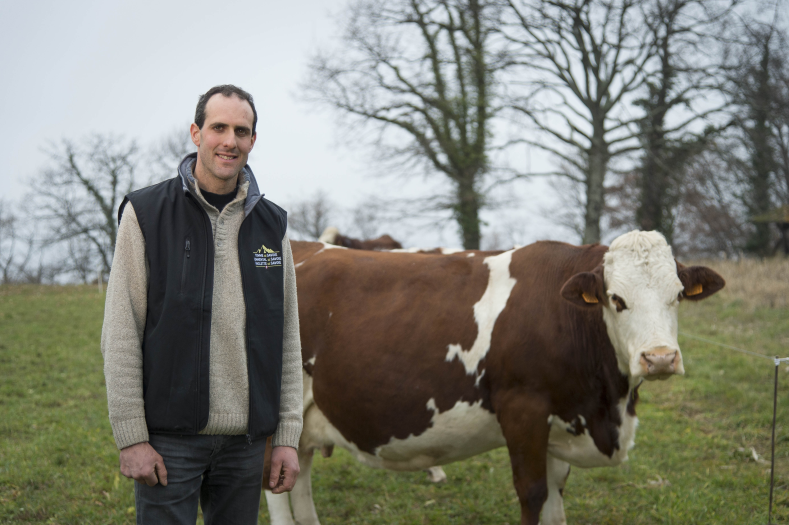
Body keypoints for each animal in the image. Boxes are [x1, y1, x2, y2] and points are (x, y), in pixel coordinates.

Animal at [268, 231, 724, 520]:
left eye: (678, 295)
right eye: (616, 299)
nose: (660, 358)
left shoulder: (557, 424)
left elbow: (555, 499)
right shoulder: (523, 410)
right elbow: (533, 493)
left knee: (298, 477)